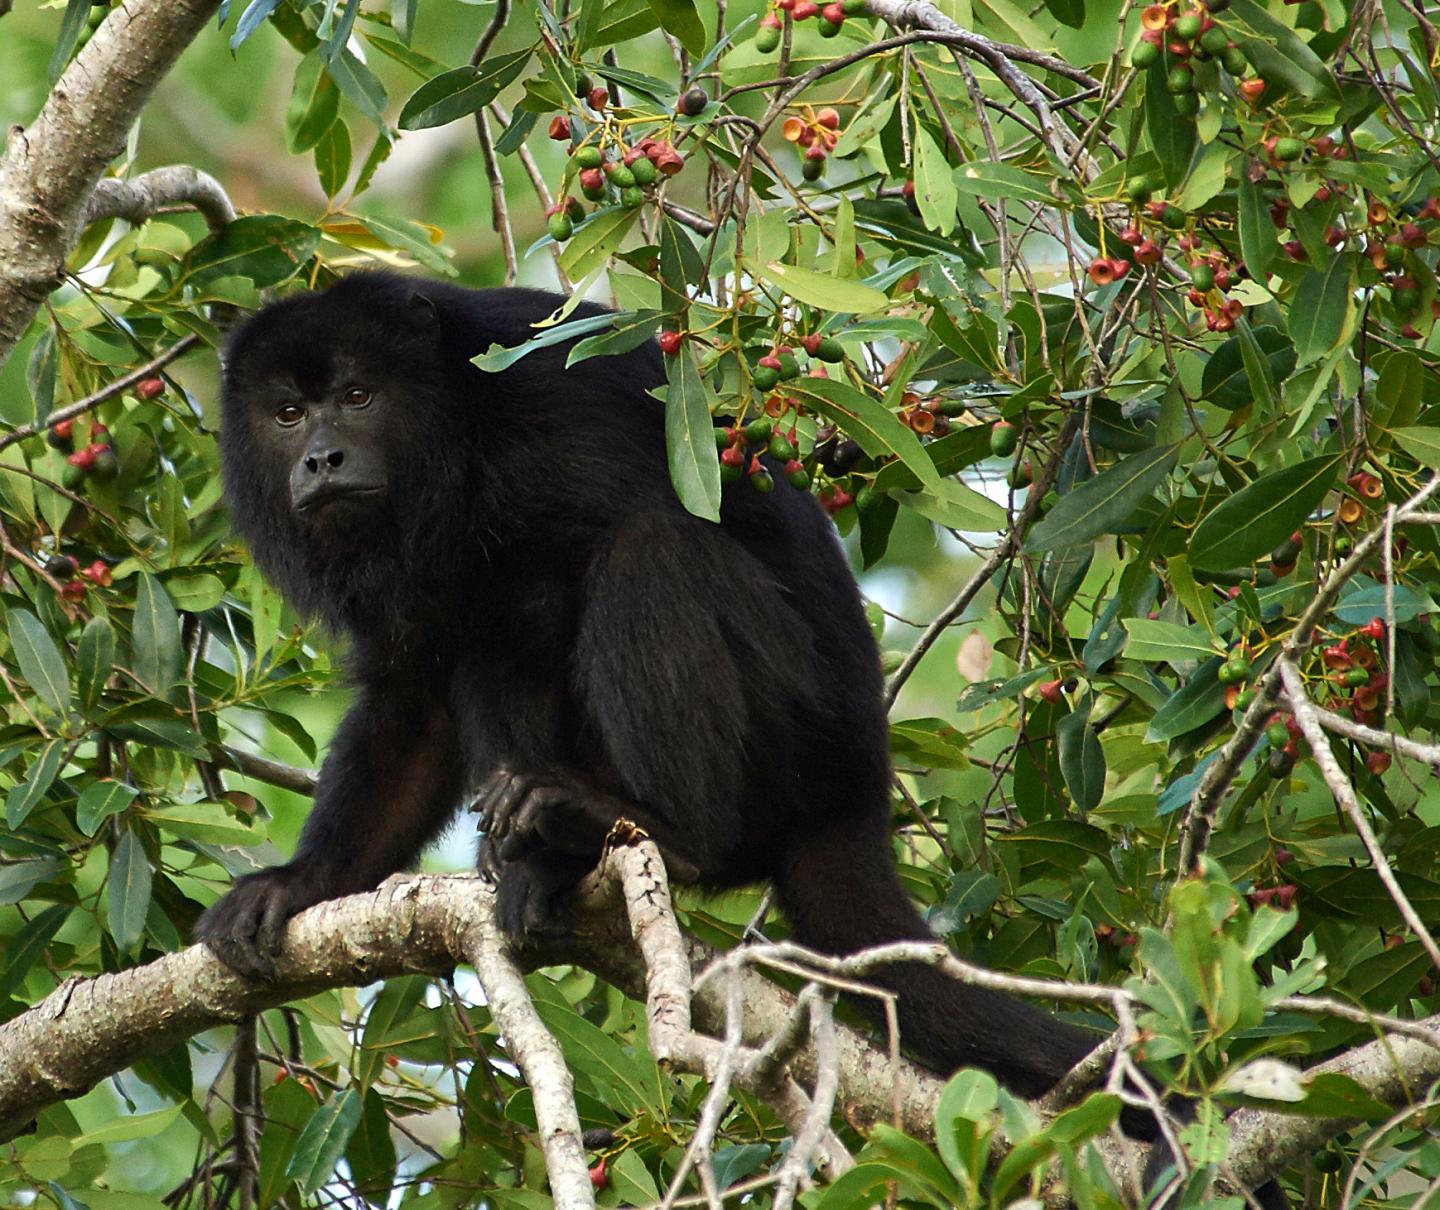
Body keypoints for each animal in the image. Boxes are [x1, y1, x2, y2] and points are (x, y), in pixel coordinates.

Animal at [195, 271, 1285, 1206]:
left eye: (358, 394)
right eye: (288, 413)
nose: (320, 459)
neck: (450, 437)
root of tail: (856, 790)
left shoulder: (543, 406)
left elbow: (558, 582)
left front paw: (546, 839)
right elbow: (414, 699)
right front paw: (303, 881)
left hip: (790, 734)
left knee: (651, 549)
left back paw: (635, 830)